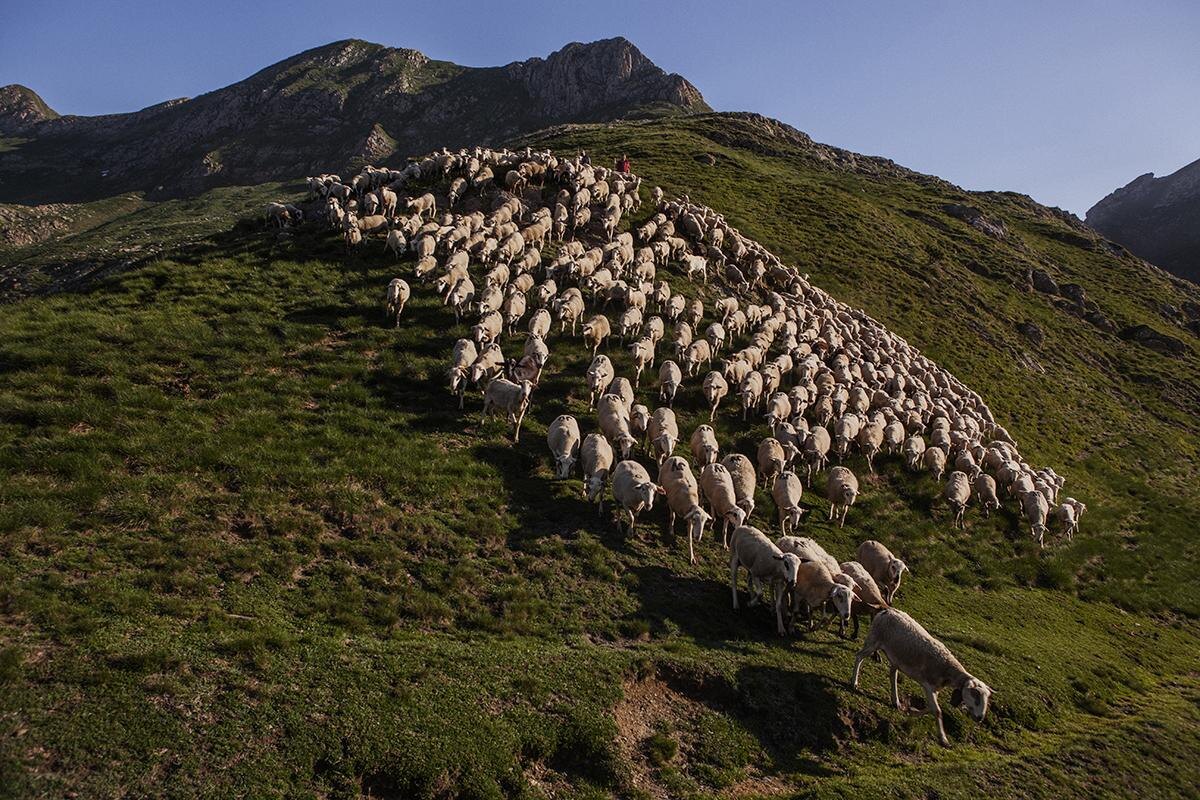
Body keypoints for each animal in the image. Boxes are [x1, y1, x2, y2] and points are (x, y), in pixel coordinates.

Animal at [850, 608, 993, 747]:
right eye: (975, 696)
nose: (980, 718)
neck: (947, 670)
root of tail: (886, 611)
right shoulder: (928, 685)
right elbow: (937, 711)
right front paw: (943, 739)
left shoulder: (935, 689)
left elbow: (931, 707)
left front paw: (912, 712)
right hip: (874, 640)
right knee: (859, 656)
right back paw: (854, 683)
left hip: (896, 657)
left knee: (892, 675)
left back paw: (896, 701)